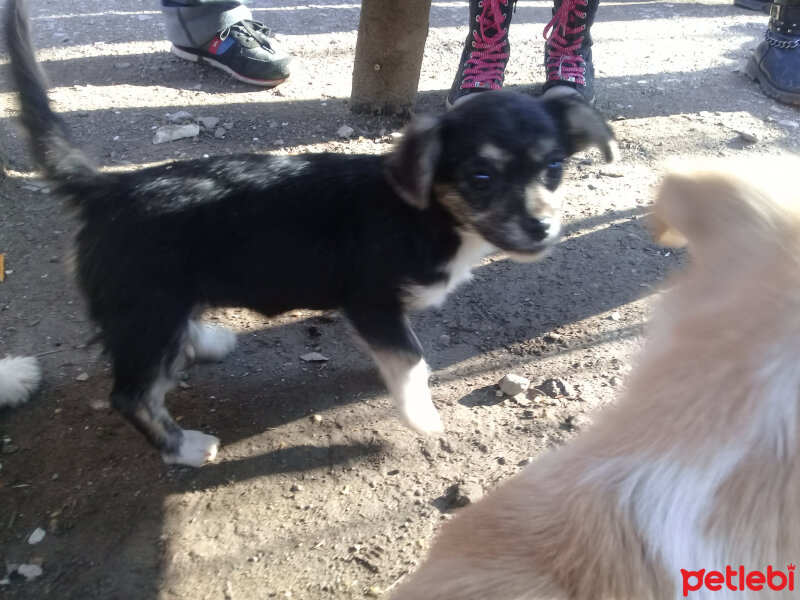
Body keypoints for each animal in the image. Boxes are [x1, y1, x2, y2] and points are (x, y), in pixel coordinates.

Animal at [6, 0, 616, 466]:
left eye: (554, 168)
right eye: (481, 178)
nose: (541, 228)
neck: (428, 213)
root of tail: (107, 188)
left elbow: (400, 357)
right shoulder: (372, 301)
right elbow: (411, 359)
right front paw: (420, 415)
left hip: (155, 305)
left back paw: (203, 339)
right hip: (147, 306)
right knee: (130, 395)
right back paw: (185, 447)